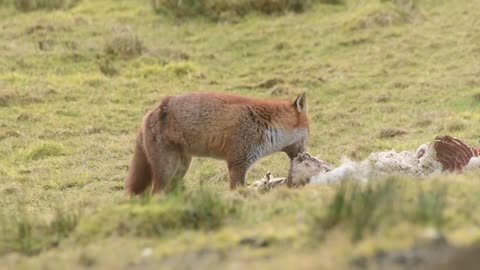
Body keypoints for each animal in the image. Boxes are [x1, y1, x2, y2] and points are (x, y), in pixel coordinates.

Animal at [125, 92, 310, 195]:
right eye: (309, 133)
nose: (305, 155)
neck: (266, 127)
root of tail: (152, 112)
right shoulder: (237, 165)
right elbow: (237, 192)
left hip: (180, 169)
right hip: (166, 170)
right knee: (156, 194)